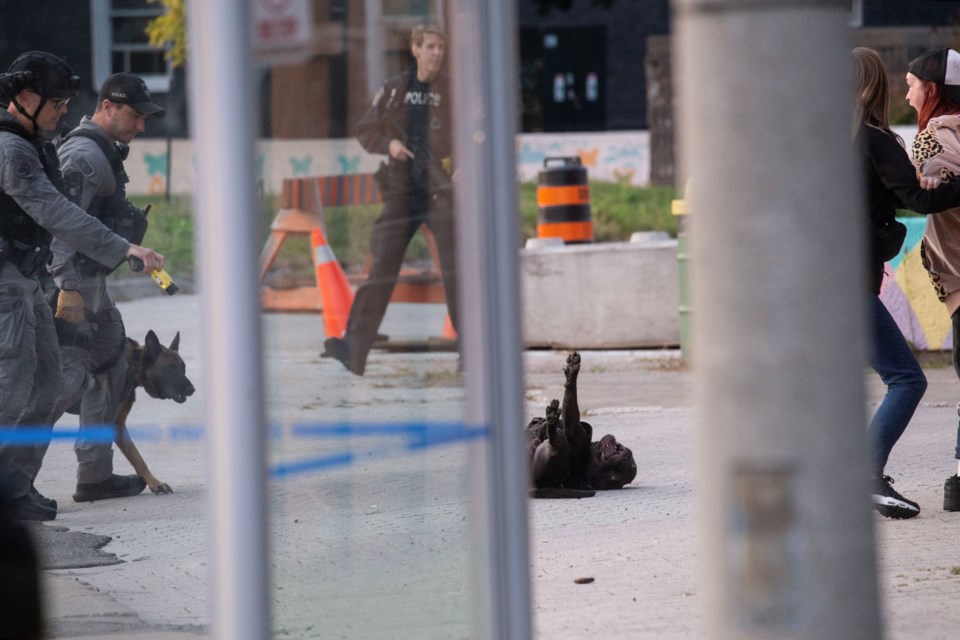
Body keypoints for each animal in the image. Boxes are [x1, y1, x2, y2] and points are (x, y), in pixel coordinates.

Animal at [524, 352, 636, 498]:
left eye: (615, 473)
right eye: (628, 459)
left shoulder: (577, 439)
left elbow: (570, 425)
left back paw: (552, 425)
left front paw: (571, 376)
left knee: (556, 441)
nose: (624, 456)